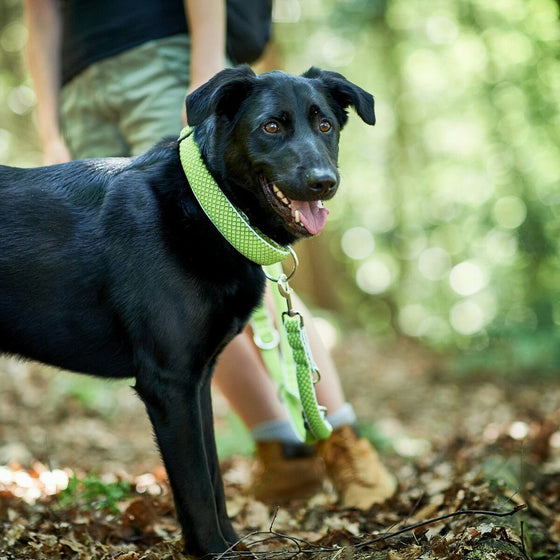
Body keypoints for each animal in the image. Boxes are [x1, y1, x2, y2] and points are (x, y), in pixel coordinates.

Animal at [0, 68, 376, 556]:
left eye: (325, 125)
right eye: (272, 126)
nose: (323, 182)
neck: (206, 208)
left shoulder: (198, 381)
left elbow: (212, 477)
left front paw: (231, 543)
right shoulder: (169, 384)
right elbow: (196, 485)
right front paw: (213, 550)